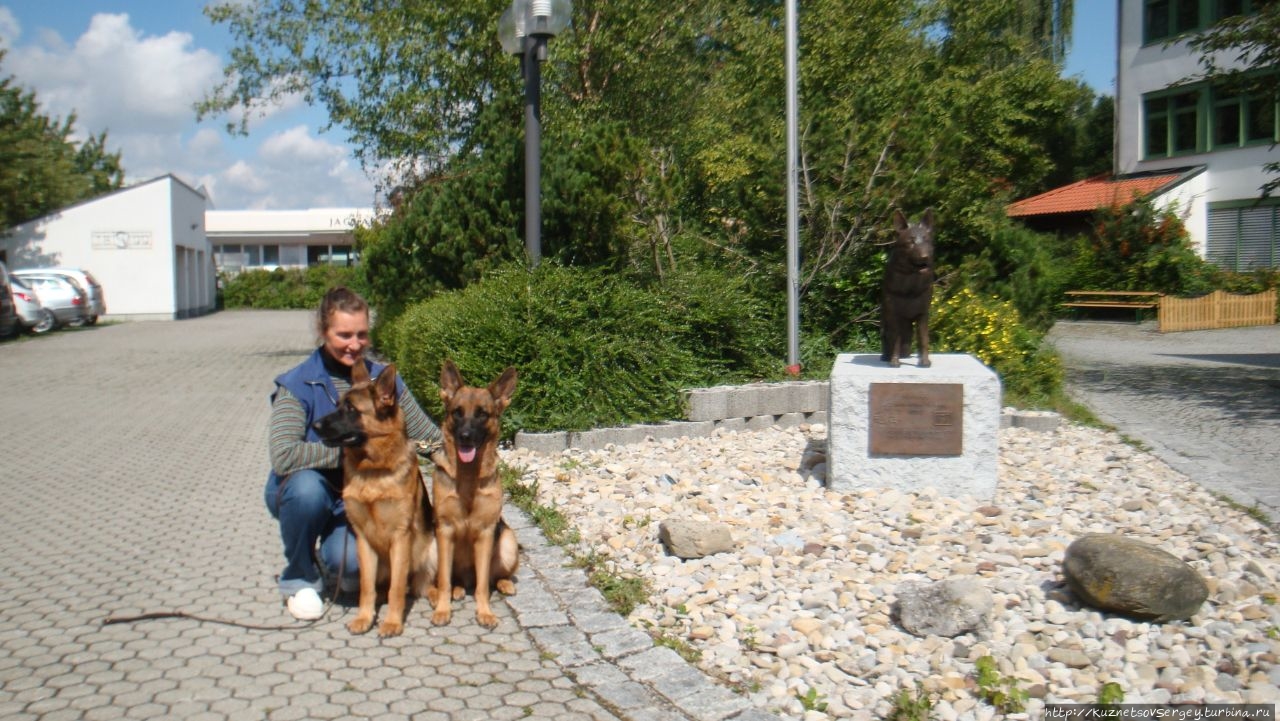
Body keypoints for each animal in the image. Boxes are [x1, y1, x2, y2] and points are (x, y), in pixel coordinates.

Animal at [311, 361, 432, 637]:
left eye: (351, 409)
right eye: (337, 405)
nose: (315, 426)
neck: (374, 471)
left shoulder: (400, 537)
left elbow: (396, 588)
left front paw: (392, 622)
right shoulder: (363, 540)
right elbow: (367, 587)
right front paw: (365, 618)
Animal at [430, 361, 519, 627]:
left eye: (482, 414)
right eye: (457, 412)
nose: (465, 437)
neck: (468, 477)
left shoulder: (486, 533)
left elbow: (482, 585)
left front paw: (485, 612)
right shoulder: (445, 531)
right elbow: (444, 580)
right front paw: (443, 609)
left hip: (508, 542)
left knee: (492, 577)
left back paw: (504, 583)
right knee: (448, 579)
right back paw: (453, 591)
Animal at [880, 207, 942, 366]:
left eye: (926, 240)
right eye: (911, 242)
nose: (925, 256)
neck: (910, 289)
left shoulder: (922, 314)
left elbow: (923, 338)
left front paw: (925, 361)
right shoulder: (895, 315)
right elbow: (895, 339)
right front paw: (894, 362)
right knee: (887, 338)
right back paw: (886, 356)